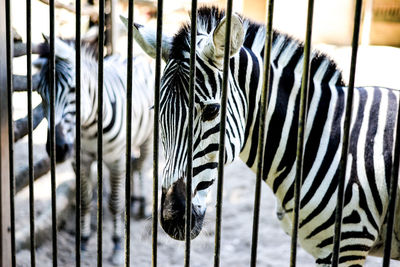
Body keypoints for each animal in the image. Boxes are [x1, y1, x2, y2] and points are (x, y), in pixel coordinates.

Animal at [32, 37, 155, 266]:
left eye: (74, 89)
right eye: (40, 92)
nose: (57, 149)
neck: (88, 127)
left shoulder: (115, 160)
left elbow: (114, 203)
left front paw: (117, 245)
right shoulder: (80, 160)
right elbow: (85, 200)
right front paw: (83, 240)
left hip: (149, 136)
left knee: (142, 166)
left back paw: (143, 204)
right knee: (134, 166)